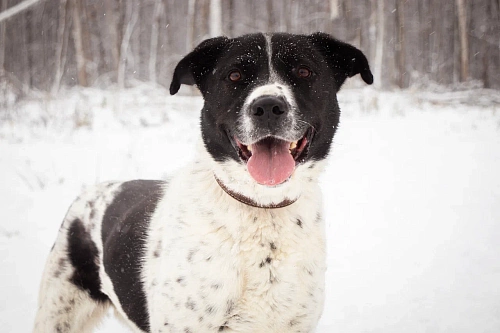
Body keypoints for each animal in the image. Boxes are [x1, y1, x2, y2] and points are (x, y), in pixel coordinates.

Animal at [34, 31, 372, 332]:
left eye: (303, 71)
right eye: (234, 75)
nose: (267, 107)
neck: (261, 209)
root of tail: (93, 191)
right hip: (57, 312)